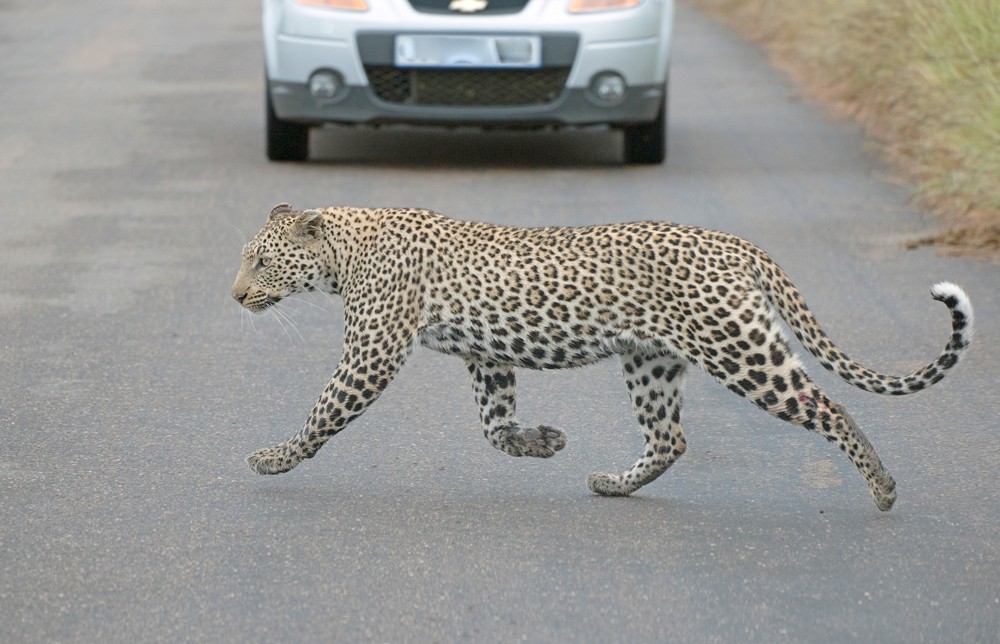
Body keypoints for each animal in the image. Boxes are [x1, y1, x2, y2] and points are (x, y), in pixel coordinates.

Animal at [230, 204, 972, 510]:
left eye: (261, 261)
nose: (234, 295)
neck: (342, 254)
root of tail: (733, 243)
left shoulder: (373, 351)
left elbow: (324, 411)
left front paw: (271, 459)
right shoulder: (485, 357)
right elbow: (494, 427)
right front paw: (543, 442)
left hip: (739, 350)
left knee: (829, 405)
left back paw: (883, 489)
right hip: (651, 362)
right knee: (669, 438)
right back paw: (612, 483)